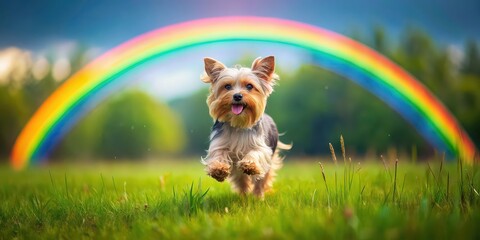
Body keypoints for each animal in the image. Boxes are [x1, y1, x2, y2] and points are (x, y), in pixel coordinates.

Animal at [199, 55, 288, 197]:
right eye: (227, 86)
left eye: (249, 86)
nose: (237, 95)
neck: (238, 123)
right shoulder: (219, 143)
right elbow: (218, 154)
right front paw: (219, 169)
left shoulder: (262, 148)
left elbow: (256, 153)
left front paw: (250, 165)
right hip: (237, 173)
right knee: (241, 180)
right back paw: (244, 195)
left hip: (269, 162)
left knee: (262, 180)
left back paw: (258, 196)